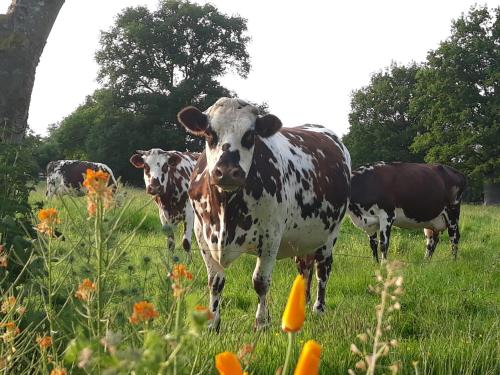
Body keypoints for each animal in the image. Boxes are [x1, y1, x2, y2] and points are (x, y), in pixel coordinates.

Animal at [178, 97, 350, 332]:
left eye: (250, 135)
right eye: (209, 133)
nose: (227, 171)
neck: (226, 209)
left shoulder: (270, 237)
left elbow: (260, 282)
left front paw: (261, 323)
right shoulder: (202, 235)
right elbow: (215, 281)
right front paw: (213, 323)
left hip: (329, 235)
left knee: (322, 270)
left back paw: (318, 309)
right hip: (303, 239)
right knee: (304, 269)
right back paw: (301, 306)